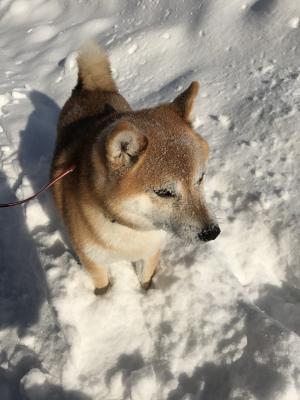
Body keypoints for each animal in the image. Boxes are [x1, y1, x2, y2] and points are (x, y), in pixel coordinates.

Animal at [51, 42, 220, 296]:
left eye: (200, 179)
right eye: (164, 192)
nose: (212, 232)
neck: (129, 229)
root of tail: (91, 88)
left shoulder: (150, 251)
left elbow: (146, 276)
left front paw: (147, 293)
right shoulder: (94, 261)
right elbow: (102, 284)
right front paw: (104, 299)